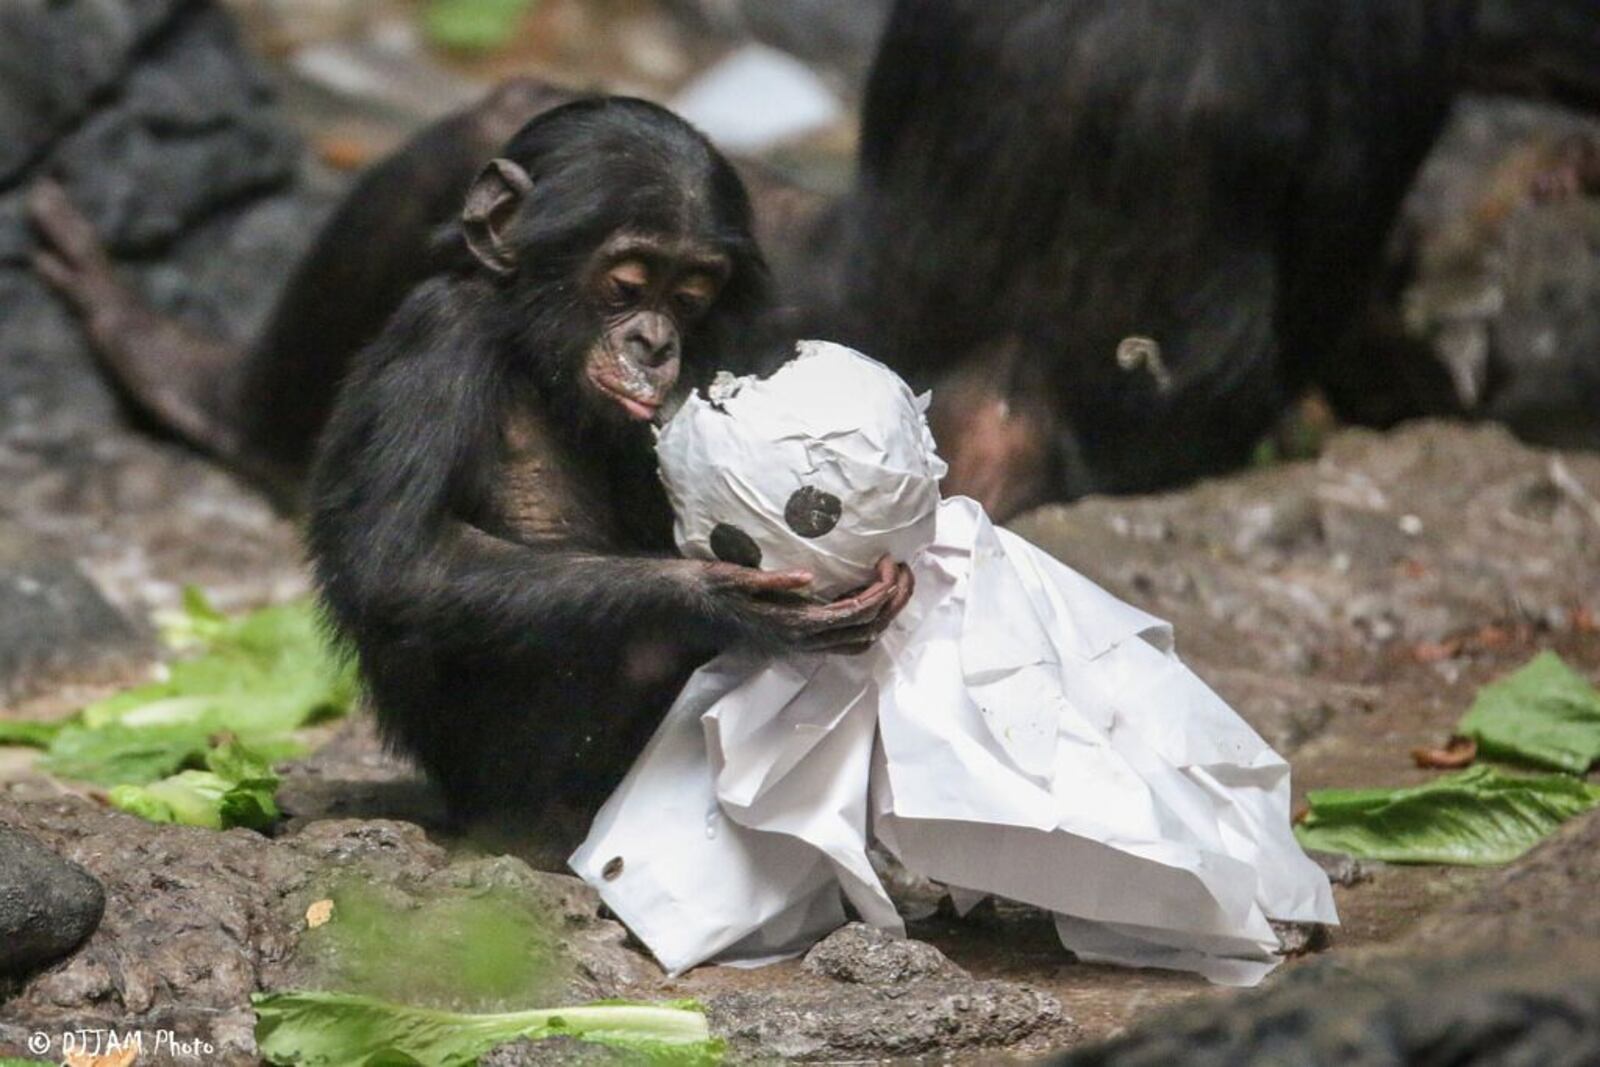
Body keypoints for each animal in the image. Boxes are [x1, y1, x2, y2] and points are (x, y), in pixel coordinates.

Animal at [307, 97, 921, 819]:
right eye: (626, 286)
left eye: (689, 296)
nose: (654, 344)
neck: (531, 352)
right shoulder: (436, 337)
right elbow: (401, 562)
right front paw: (724, 599)